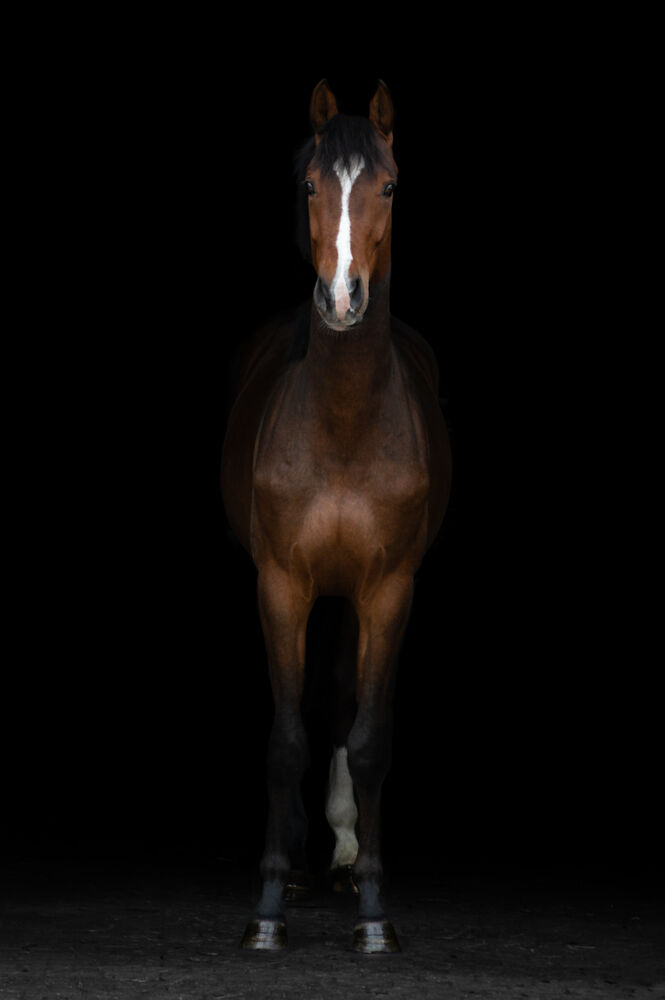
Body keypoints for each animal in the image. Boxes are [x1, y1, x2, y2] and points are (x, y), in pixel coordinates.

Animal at [221, 79, 452, 953]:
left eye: (387, 186)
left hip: (354, 597)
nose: (343, 299)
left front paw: (375, 912)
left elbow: (370, 735)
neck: (343, 423)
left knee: (347, 706)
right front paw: (267, 906)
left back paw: (347, 855)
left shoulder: (388, 590)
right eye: (312, 185)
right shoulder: (282, 584)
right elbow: (286, 738)